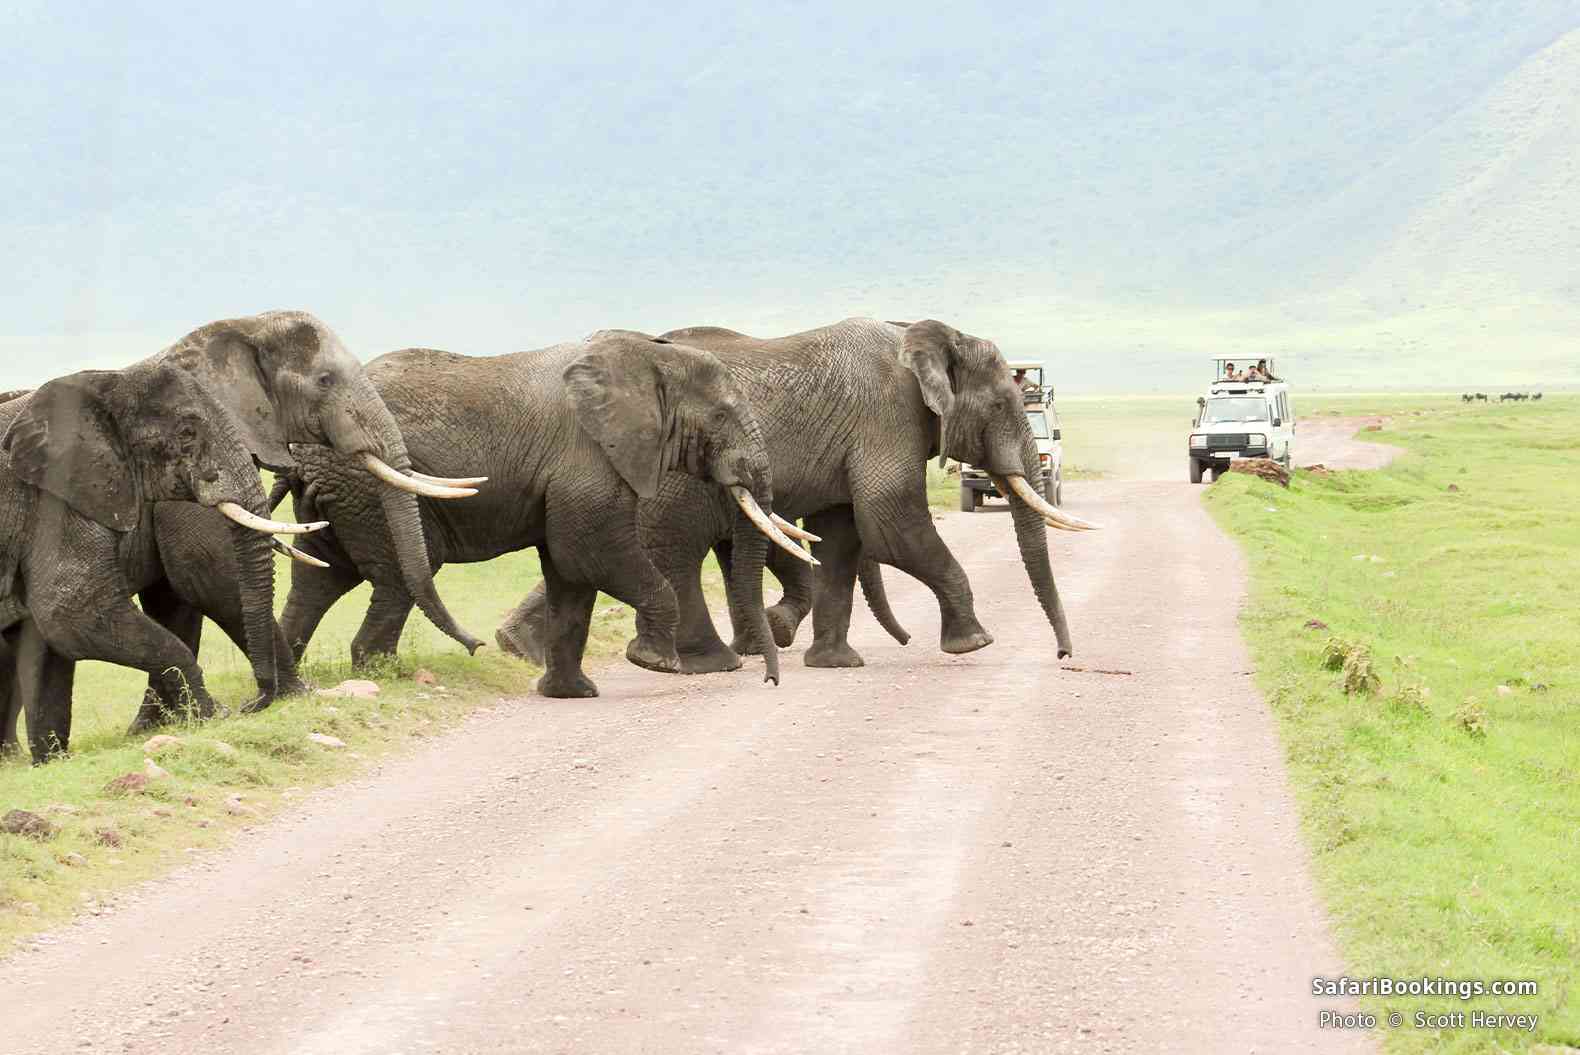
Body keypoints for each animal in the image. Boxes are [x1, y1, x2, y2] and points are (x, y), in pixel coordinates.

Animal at [0, 364, 323, 763]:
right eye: (186, 434)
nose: (253, 703)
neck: (109, 382)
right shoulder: (53, 500)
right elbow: (73, 613)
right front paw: (213, 715)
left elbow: (47, 641)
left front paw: (53, 762)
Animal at [271, 331, 810, 698]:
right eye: (720, 416)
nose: (770, 681)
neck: (647, 354)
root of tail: (300, 453)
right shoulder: (587, 457)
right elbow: (588, 555)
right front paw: (653, 663)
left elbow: (569, 574)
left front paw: (571, 695)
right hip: (366, 487)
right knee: (396, 577)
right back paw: (382, 675)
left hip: (340, 495)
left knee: (319, 577)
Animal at [498, 318, 1093, 674]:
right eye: (999, 406)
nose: (1064, 655)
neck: (919, 332)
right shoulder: (886, 416)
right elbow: (888, 523)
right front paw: (975, 643)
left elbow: (842, 537)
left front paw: (835, 663)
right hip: (668, 475)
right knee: (674, 552)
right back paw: (708, 664)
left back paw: (522, 651)